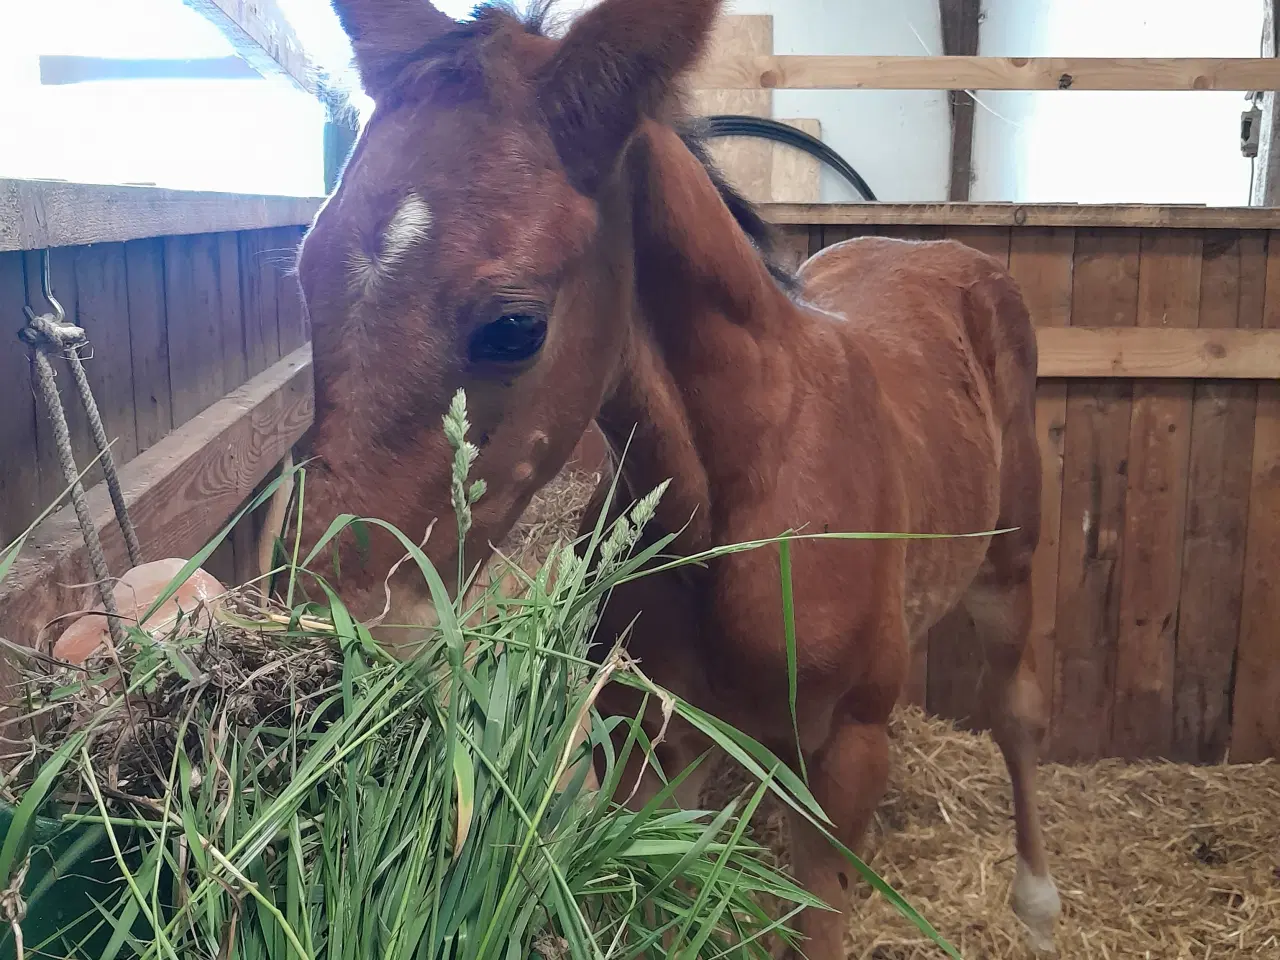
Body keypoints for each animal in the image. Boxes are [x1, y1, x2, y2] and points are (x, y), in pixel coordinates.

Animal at [294, 3, 1064, 957]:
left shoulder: (847, 754)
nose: (332, 635)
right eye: (306, 270)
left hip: (1010, 562)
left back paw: (1037, 896)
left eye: (514, 326)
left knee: (1016, 704)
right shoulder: (650, 741)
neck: (739, 498)